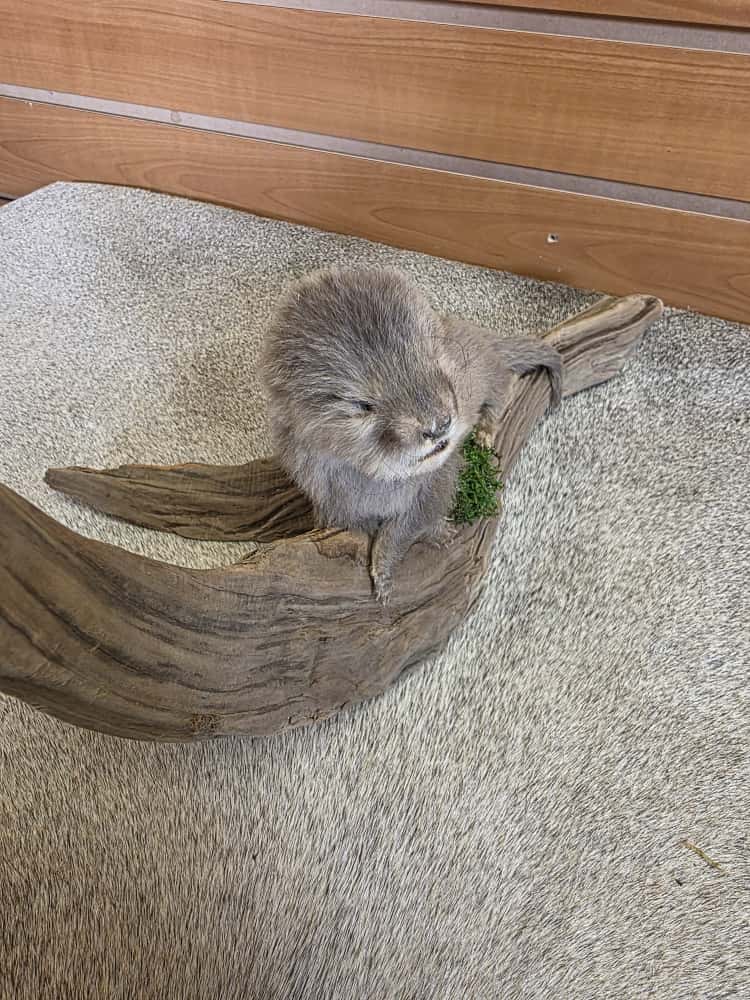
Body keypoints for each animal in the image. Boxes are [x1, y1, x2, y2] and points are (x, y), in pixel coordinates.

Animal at [261, 266, 562, 603]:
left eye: (433, 362)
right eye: (363, 405)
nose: (439, 425)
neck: (378, 485)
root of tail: (484, 337)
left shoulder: (435, 486)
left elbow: (403, 530)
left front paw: (387, 566)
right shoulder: (331, 495)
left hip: (491, 374)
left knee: (501, 392)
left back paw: (486, 430)